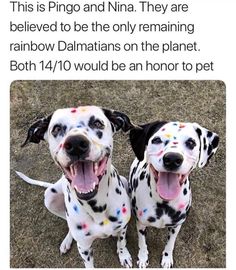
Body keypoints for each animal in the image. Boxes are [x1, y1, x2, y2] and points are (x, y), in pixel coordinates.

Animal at [16, 105, 135, 268]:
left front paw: (124, 256)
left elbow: (121, 243)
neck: (96, 206)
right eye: (56, 128)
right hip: (50, 197)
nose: (76, 144)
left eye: (97, 123)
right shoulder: (84, 247)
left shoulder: (122, 228)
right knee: (67, 222)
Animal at [129, 121, 219, 268]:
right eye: (157, 140)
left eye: (191, 143)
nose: (172, 158)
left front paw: (167, 258)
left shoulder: (176, 226)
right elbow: (142, 242)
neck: (164, 203)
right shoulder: (141, 223)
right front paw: (142, 257)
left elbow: (170, 243)